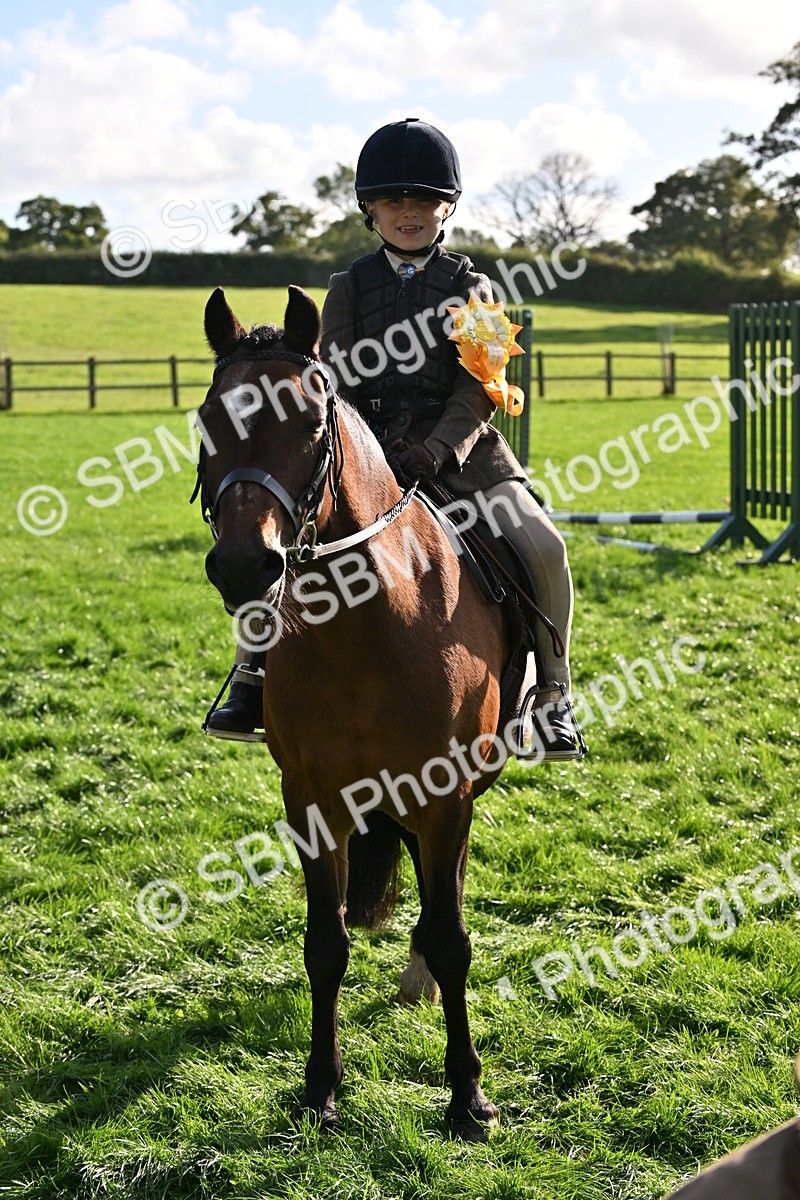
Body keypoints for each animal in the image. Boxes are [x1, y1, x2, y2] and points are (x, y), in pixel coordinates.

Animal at [195, 283, 516, 1138]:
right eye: (206, 420)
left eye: (311, 423)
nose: (245, 566)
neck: (366, 625)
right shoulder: (311, 799)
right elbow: (325, 945)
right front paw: (320, 1089)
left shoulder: (445, 794)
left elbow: (452, 936)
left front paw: (467, 1096)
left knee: (447, 897)